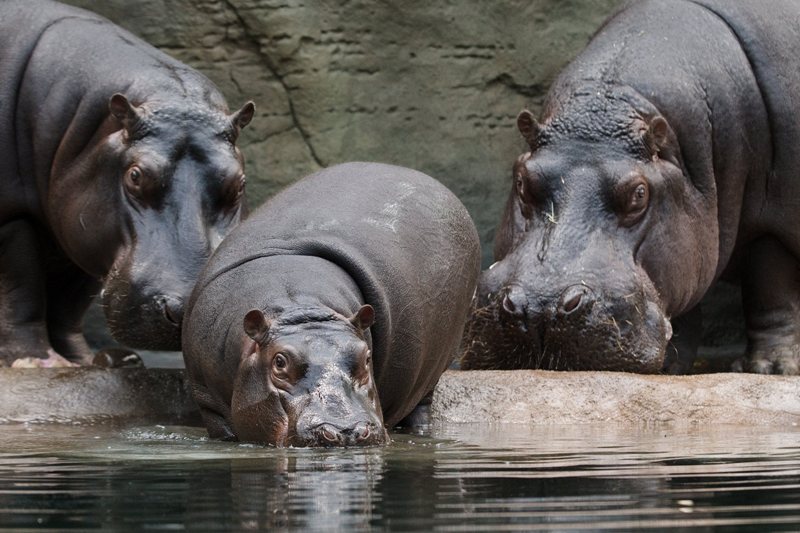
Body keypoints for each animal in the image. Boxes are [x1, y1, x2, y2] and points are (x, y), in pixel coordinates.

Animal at [0, 0, 253, 366]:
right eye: (135, 175)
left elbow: (69, 302)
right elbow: (22, 288)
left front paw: (81, 360)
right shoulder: (12, 214)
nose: (187, 311)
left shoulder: (82, 228)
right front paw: (36, 361)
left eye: (238, 183)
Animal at [183, 162, 482, 444]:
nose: (346, 430)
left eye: (366, 358)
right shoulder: (208, 404)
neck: (300, 309)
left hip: (435, 370)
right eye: (279, 362)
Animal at [460, 0, 800, 374]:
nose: (540, 307)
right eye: (521, 180)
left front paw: (771, 368)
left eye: (639, 194)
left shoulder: (775, 224)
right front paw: (671, 368)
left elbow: (770, 288)